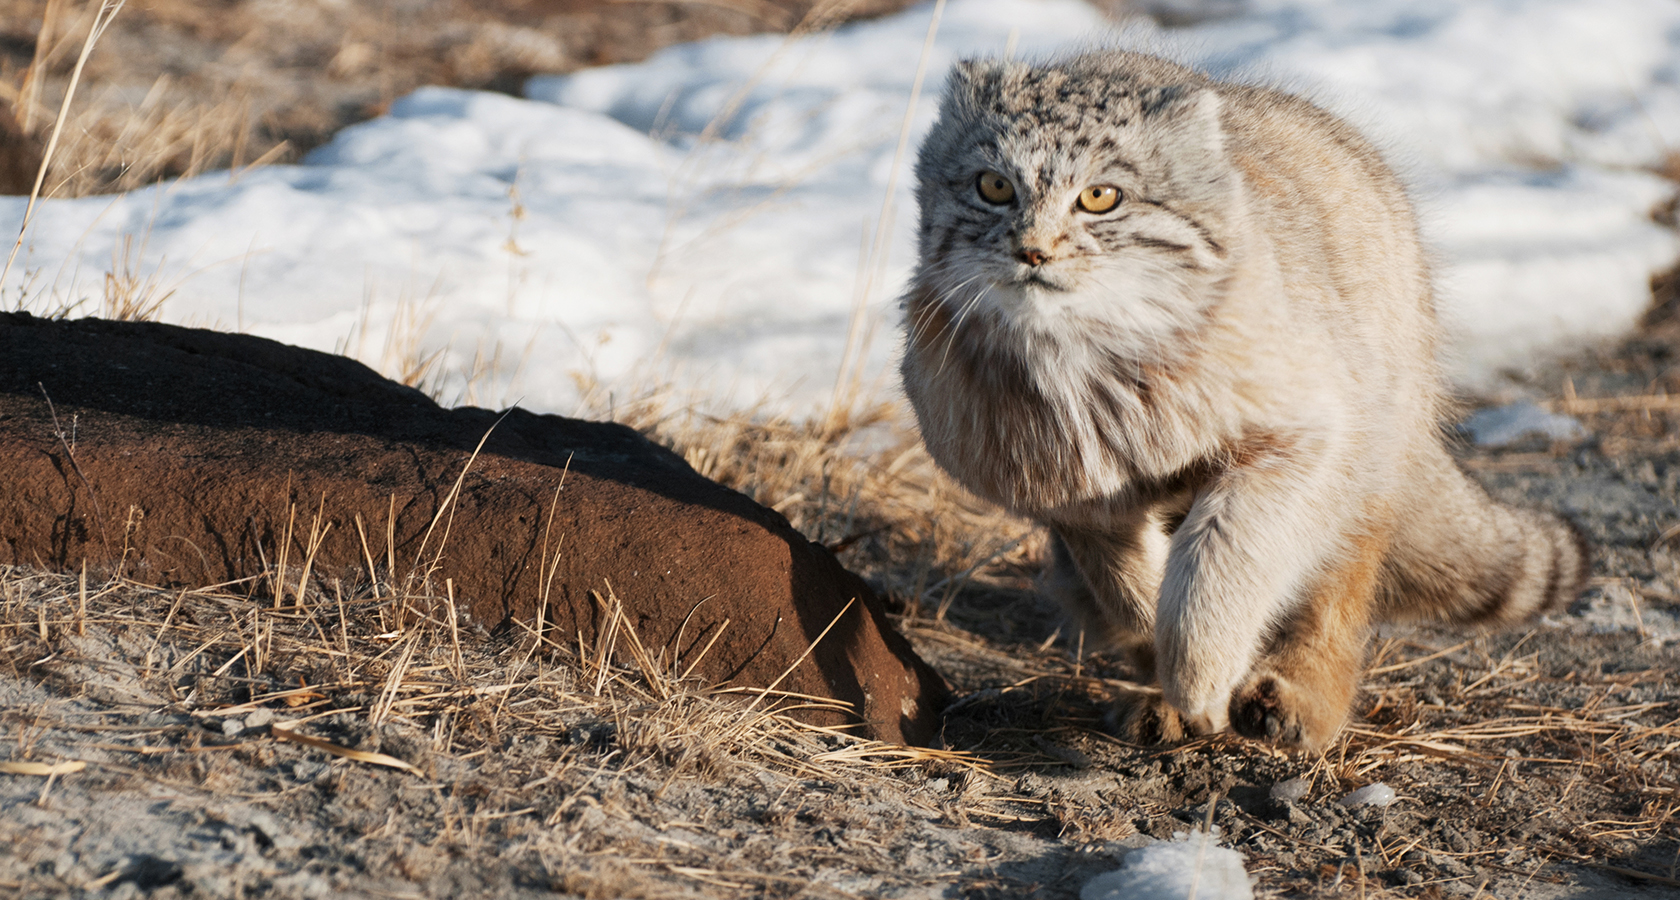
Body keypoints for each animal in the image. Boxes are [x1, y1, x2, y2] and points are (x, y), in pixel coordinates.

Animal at [900, 52, 1579, 748]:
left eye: (1100, 197)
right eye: (993, 187)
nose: (1032, 250)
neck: (1085, 371)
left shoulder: (1302, 441)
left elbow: (1218, 558)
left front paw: (1200, 670)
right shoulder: (1079, 504)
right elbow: (1132, 592)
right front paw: (1165, 664)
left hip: (1367, 453)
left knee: (1336, 592)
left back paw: (1303, 692)